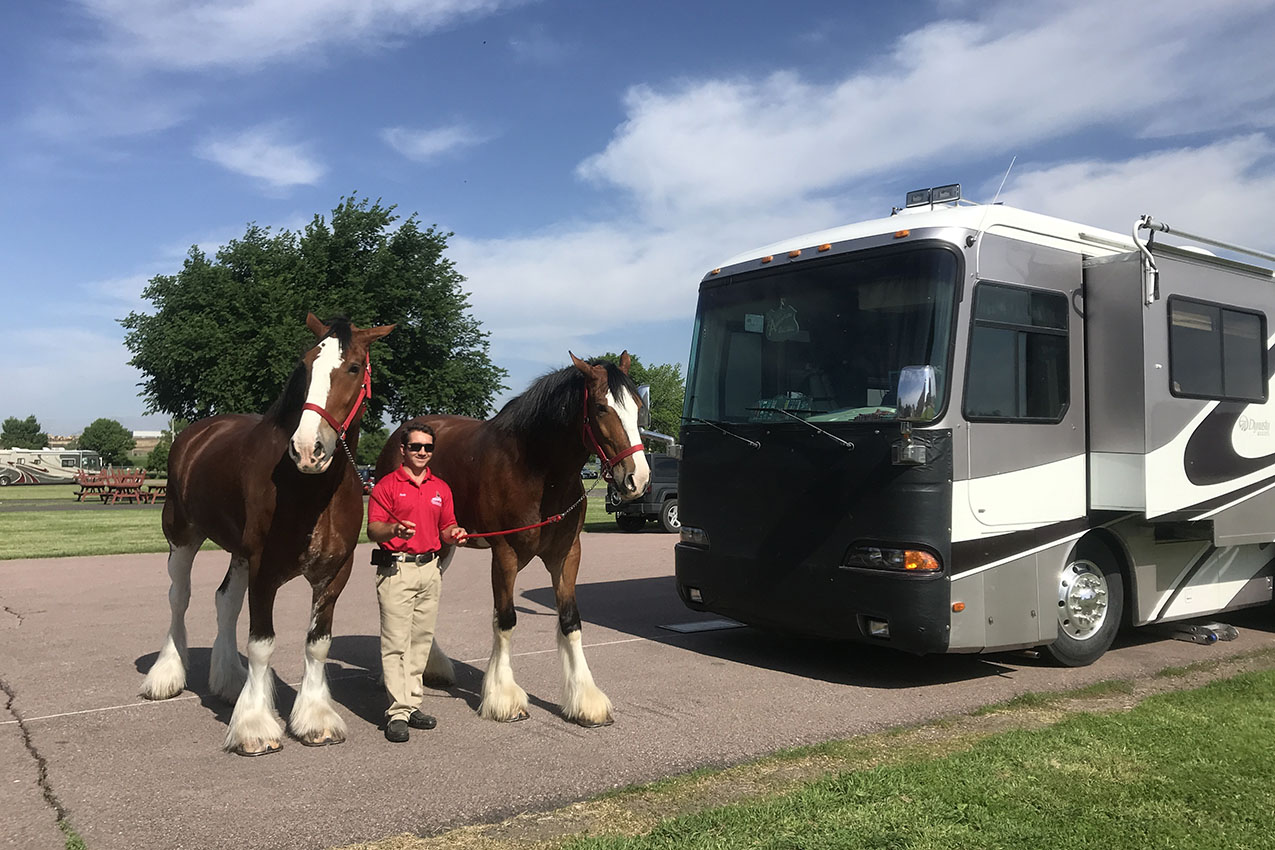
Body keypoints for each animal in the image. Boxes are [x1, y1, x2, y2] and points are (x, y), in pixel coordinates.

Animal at [140, 313, 394, 756]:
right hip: (182, 538)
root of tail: (195, 435)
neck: (310, 491)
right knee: (179, 599)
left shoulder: (334, 574)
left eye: (353, 367)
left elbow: (317, 643)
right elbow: (261, 643)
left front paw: (315, 719)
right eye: (305, 365)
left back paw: (228, 681)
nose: (308, 449)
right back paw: (166, 675)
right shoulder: (264, 569)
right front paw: (254, 726)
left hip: (238, 553)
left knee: (224, 600)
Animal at [374, 352, 650, 726]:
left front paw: (586, 701)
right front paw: (503, 698)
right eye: (600, 408)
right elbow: (505, 620)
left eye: (638, 406)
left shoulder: (566, 555)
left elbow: (570, 621)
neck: (538, 471)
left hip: (441, 545)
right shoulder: (504, 554)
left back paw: (433, 667)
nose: (638, 479)